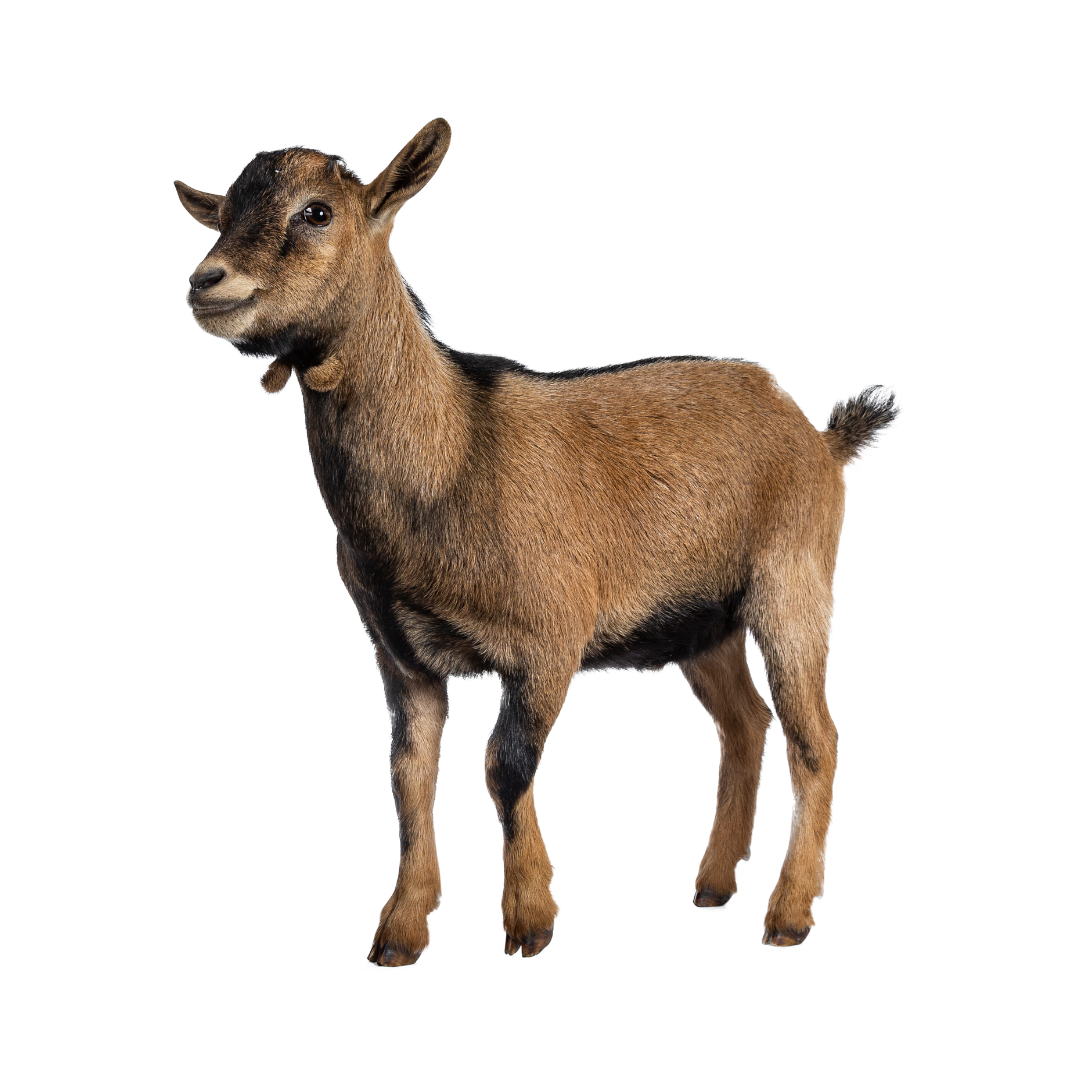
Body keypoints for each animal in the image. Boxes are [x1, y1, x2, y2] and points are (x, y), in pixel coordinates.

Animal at [175, 113, 902, 965]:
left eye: (315, 212)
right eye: (221, 213)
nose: (208, 283)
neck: (451, 455)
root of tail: (820, 438)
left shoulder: (546, 639)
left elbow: (506, 764)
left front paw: (528, 918)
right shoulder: (400, 654)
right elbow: (410, 775)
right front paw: (399, 934)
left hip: (794, 585)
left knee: (814, 737)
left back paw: (787, 914)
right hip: (701, 623)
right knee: (745, 723)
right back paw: (715, 885)